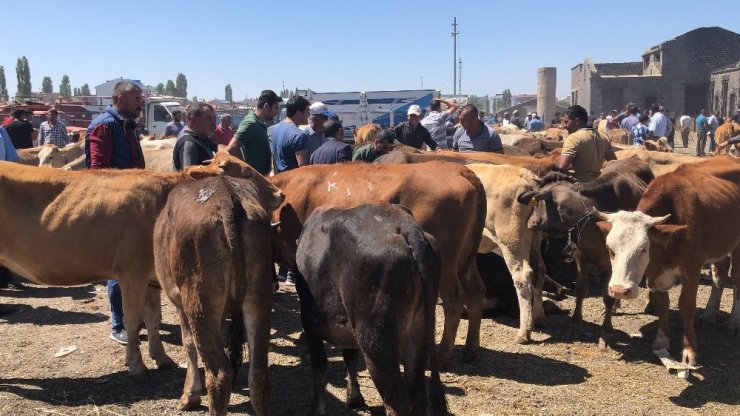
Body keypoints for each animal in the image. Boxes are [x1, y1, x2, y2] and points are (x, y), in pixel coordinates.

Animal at [153, 174, 284, 414]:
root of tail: (226, 196)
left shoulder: (179, 302)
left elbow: (188, 343)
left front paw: (190, 396)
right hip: (259, 297)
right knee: (259, 374)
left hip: (199, 303)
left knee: (219, 375)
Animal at [268, 161, 488, 366]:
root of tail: (459, 169)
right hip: (465, 261)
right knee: (476, 293)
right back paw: (470, 351)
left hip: (448, 267)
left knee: (454, 302)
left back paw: (443, 355)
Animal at [294, 203, 446, 414]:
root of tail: (405, 226)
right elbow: (349, 357)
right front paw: (354, 398)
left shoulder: (309, 323)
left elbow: (319, 367)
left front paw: (317, 409)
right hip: (418, 334)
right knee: (418, 399)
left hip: (376, 344)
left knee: (397, 405)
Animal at [516, 156, 652, 348]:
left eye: (539, 203)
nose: (531, 223)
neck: (592, 219)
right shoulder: (581, 255)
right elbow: (580, 289)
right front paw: (575, 325)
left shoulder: (610, 261)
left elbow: (607, 296)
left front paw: (606, 333)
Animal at [600, 157, 736, 368]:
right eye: (610, 249)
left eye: (643, 249)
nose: (619, 291)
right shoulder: (653, 272)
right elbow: (662, 303)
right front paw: (662, 340)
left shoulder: (692, 269)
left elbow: (686, 306)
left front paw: (689, 350)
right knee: (719, 276)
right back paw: (710, 314)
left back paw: (734, 322)